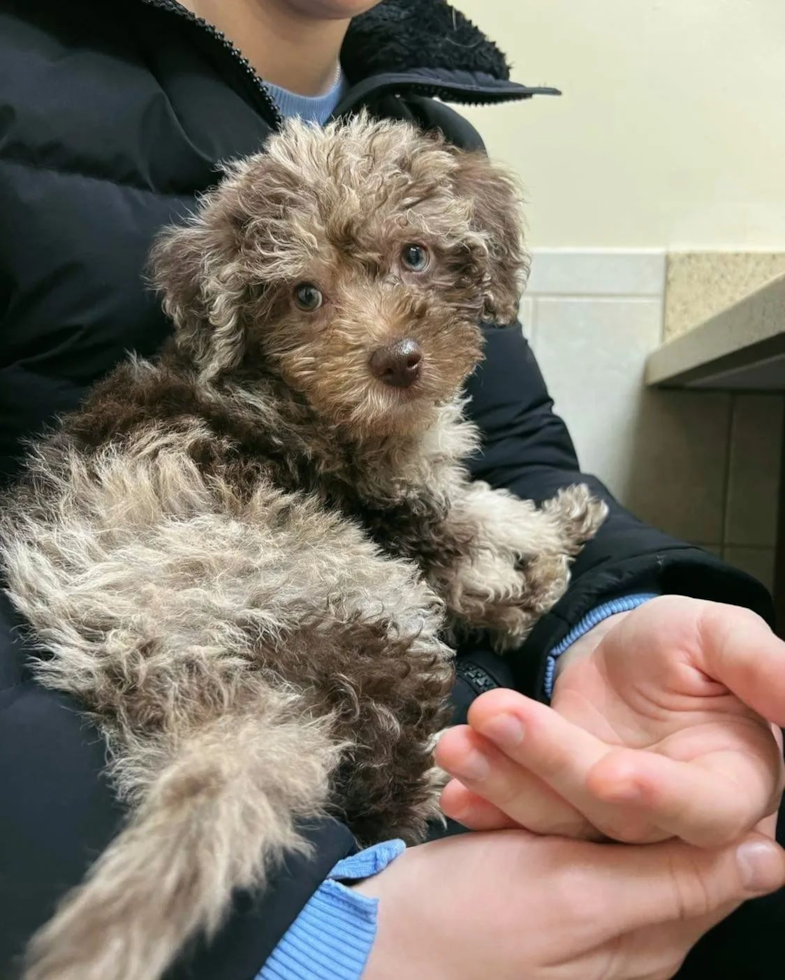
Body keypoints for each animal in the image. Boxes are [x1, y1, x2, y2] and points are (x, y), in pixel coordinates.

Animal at [1, 117, 608, 980]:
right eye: (304, 295)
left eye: (414, 254)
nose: (398, 361)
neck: (296, 391)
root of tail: (162, 668)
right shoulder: (394, 503)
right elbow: (472, 520)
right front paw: (548, 533)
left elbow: (474, 517)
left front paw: (545, 535)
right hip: (351, 591)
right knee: (390, 784)